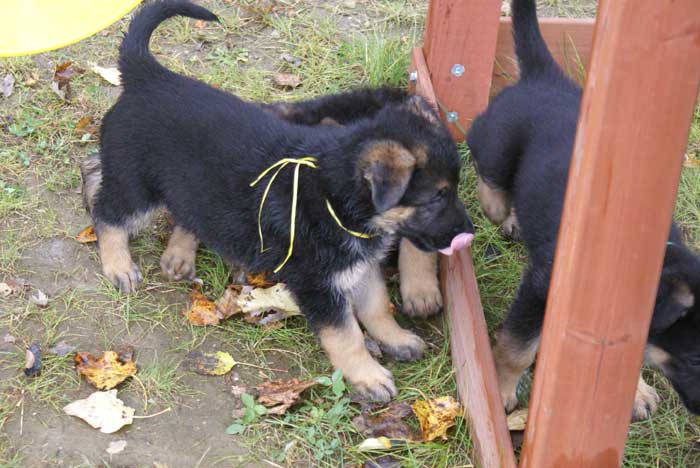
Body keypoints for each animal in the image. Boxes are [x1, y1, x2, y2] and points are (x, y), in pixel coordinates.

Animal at [85, 0, 474, 402]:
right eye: (437, 197)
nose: (469, 233)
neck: (333, 195)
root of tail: (148, 76)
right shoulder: (317, 284)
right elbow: (346, 334)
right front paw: (367, 376)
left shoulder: (358, 266)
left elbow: (377, 306)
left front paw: (396, 339)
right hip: (136, 185)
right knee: (107, 212)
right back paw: (119, 266)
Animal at [468, 0, 700, 420]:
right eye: (695, 360)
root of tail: (546, 76)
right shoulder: (539, 289)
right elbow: (517, 347)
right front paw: (502, 390)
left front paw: (636, 392)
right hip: (497, 143)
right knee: (483, 157)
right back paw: (498, 206)